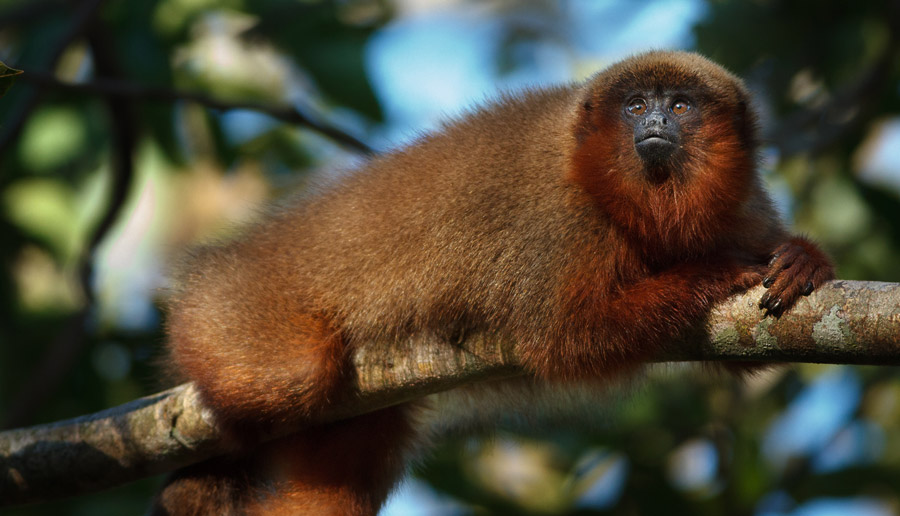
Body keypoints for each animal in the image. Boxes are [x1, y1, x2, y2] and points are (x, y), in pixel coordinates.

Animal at [153, 51, 834, 515]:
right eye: (637, 104)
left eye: (682, 105)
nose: (657, 121)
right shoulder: (562, 220)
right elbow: (563, 337)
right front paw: (709, 272)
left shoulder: (742, 207)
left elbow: (755, 348)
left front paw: (804, 259)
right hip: (231, 311)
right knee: (290, 375)